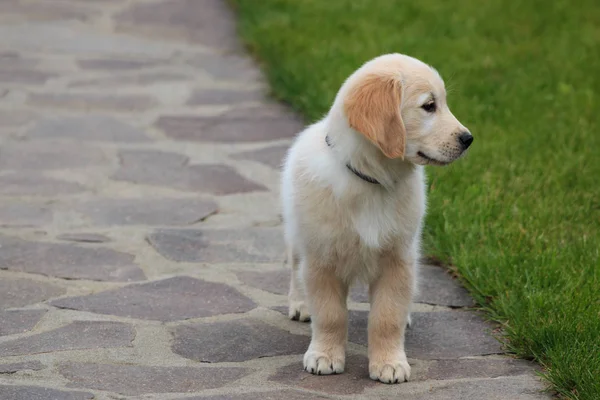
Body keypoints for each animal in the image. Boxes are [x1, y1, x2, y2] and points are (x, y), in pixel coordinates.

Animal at [282, 52, 474, 382]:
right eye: (429, 105)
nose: (468, 139)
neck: (371, 181)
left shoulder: (397, 258)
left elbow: (386, 317)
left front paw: (389, 362)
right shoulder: (322, 259)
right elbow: (330, 315)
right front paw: (324, 355)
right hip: (298, 236)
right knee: (296, 269)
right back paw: (300, 303)